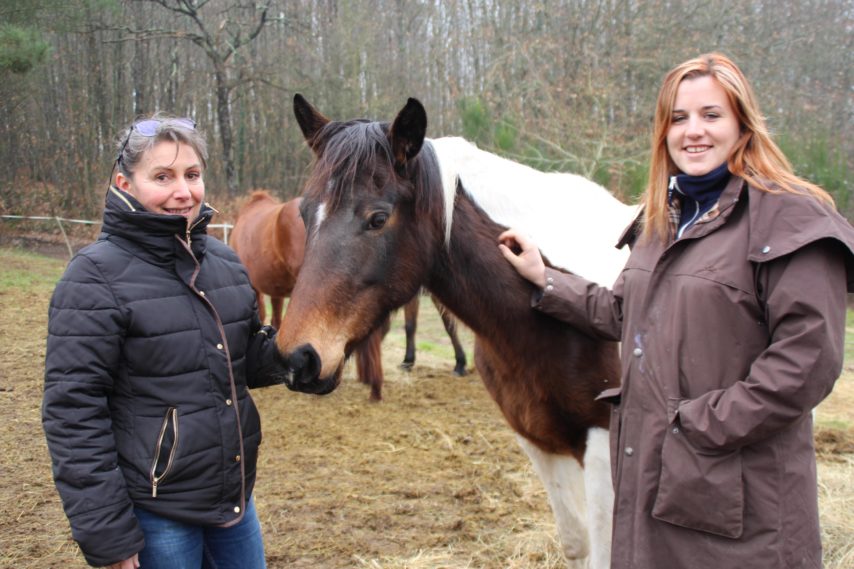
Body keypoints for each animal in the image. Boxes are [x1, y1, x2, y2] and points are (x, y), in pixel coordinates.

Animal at [278, 94, 640, 568]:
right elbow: (576, 542)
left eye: (378, 218)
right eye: (304, 214)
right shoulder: (540, 439)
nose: (299, 357)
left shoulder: (600, 444)